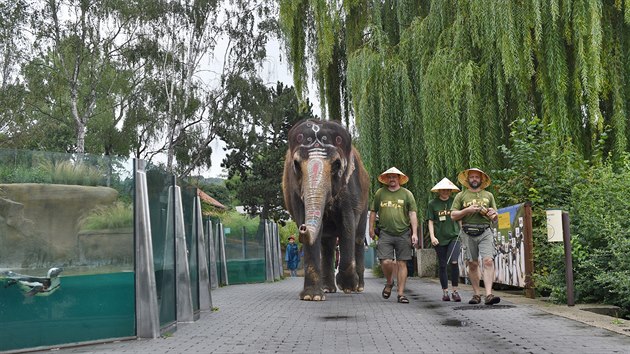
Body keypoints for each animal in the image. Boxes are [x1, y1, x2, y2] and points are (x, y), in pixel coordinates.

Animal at [282, 117, 370, 300]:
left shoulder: (350, 188)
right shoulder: (294, 191)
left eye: (337, 164)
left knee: (358, 238)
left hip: (366, 201)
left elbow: (347, 224)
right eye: (296, 164)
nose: (302, 228)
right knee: (327, 243)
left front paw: (348, 286)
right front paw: (312, 297)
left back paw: (358, 287)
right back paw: (328, 289)